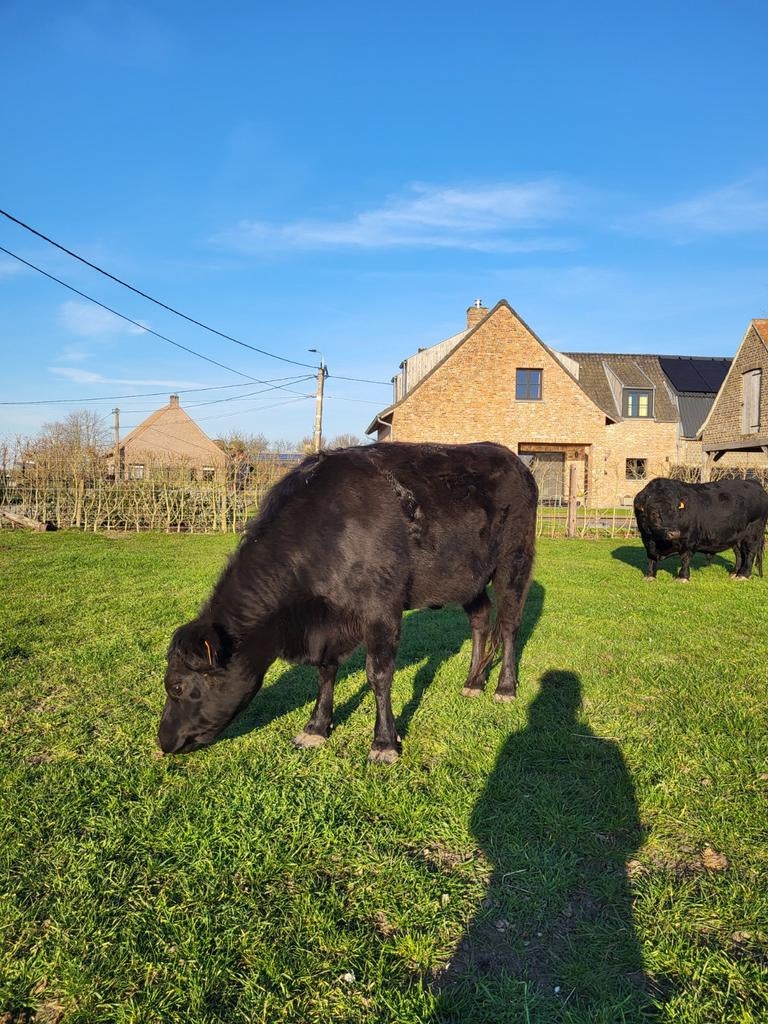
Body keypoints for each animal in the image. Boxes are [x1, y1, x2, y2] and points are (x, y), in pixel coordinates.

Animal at [158, 442, 538, 763]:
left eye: (176, 686)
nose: (163, 741)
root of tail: (512, 457)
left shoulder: (382, 608)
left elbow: (379, 674)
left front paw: (384, 743)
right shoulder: (328, 625)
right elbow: (325, 672)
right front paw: (316, 727)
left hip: (514, 562)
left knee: (508, 625)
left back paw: (504, 687)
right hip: (467, 578)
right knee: (481, 619)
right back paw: (473, 682)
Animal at [633, 477, 768, 582]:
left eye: (676, 511)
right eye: (654, 513)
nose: (674, 533)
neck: (659, 542)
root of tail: (753, 483)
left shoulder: (688, 540)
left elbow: (685, 559)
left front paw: (682, 577)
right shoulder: (647, 540)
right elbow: (651, 559)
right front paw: (650, 576)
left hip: (753, 532)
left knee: (749, 553)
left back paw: (743, 575)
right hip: (736, 536)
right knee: (740, 554)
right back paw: (734, 573)